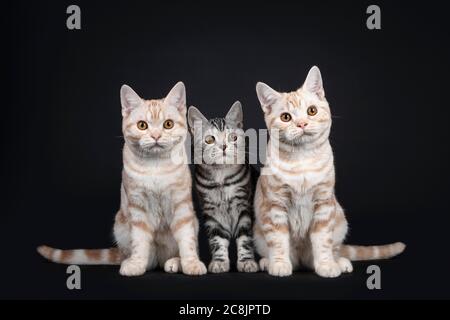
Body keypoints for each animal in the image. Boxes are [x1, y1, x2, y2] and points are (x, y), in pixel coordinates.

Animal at [37, 82, 206, 276]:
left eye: (168, 124)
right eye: (142, 125)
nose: (156, 136)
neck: (156, 167)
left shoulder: (181, 206)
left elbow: (187, 240)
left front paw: (191, 263)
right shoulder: (138, 207)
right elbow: (140, 241)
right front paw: (136, 264)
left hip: (192, 222)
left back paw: (174, 262)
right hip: (120, 225)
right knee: (142, 256)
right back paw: (134, 260)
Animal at [186, 102, 258, 272]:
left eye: (233, 137)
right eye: (209, 139)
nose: (224, 146)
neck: (221, 178)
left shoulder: (245, 208)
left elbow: (245, 238)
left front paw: (247, 261)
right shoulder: (211, 213)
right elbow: (217, 240)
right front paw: (219, 261)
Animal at [255, 67, 406, 278]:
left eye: (311, 111)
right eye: (286, 117)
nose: (302, 124)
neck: (303, 161)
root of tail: (301, 261)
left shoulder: (324, 204)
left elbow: (322, 241)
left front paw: (326, 265)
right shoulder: (275, 205)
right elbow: (278, 240)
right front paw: (279, 264)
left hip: (340, 218)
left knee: (332, 250)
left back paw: (339, 262)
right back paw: (266, 262)